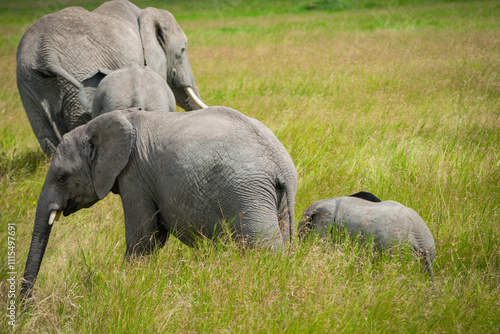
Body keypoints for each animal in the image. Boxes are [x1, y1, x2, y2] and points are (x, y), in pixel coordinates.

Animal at [16, 0, 206, 156]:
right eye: (183, 50)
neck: (145, 12)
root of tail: (45, 54)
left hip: (29, 84)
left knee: (46, 137)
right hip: (78, 70)